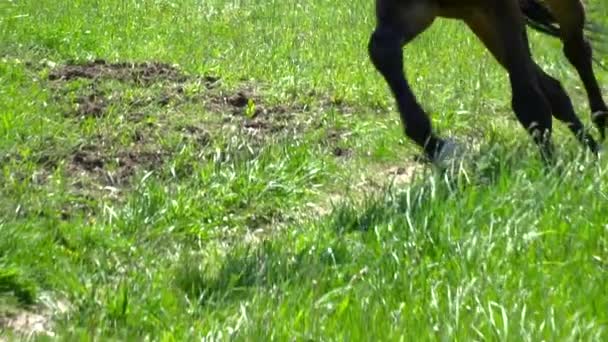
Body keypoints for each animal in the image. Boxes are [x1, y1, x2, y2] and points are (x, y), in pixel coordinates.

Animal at [368, 0, 604, 164]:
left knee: (577, 50)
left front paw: (552, 173)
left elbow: (528, 103)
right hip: (476, 18)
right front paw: (438, 147)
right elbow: (382, 50)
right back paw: (592, 149)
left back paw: (601, 128)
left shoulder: (502, 8)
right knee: (554, 88)